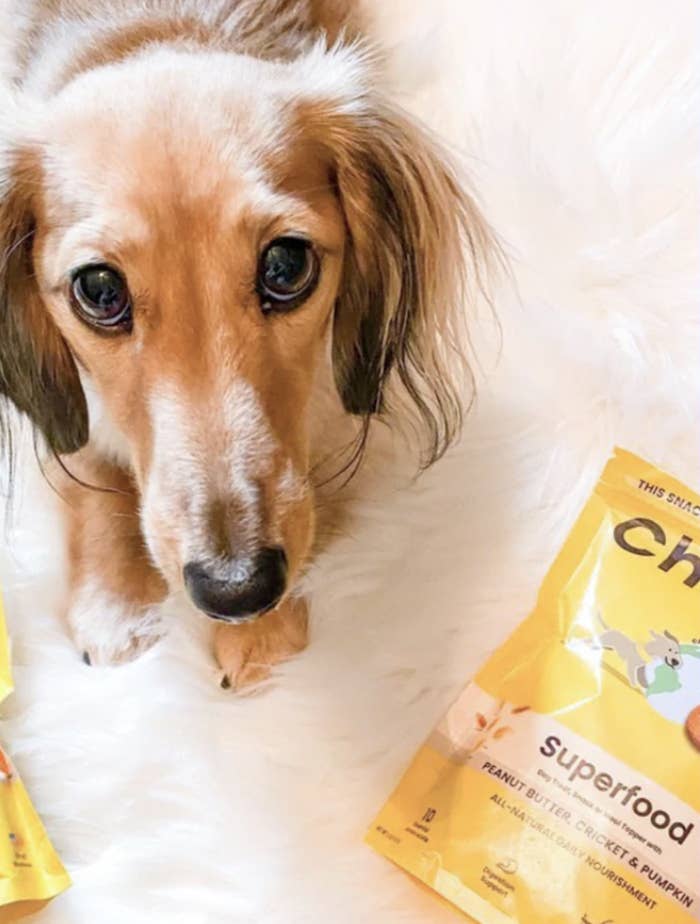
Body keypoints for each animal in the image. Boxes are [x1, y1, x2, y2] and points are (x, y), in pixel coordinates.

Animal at [0, 0, 492, 688]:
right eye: (98, 289)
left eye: (286, 266)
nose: (238, 590)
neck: (153, 28)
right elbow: (86, 462)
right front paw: (116, 602)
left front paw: (263, 635)